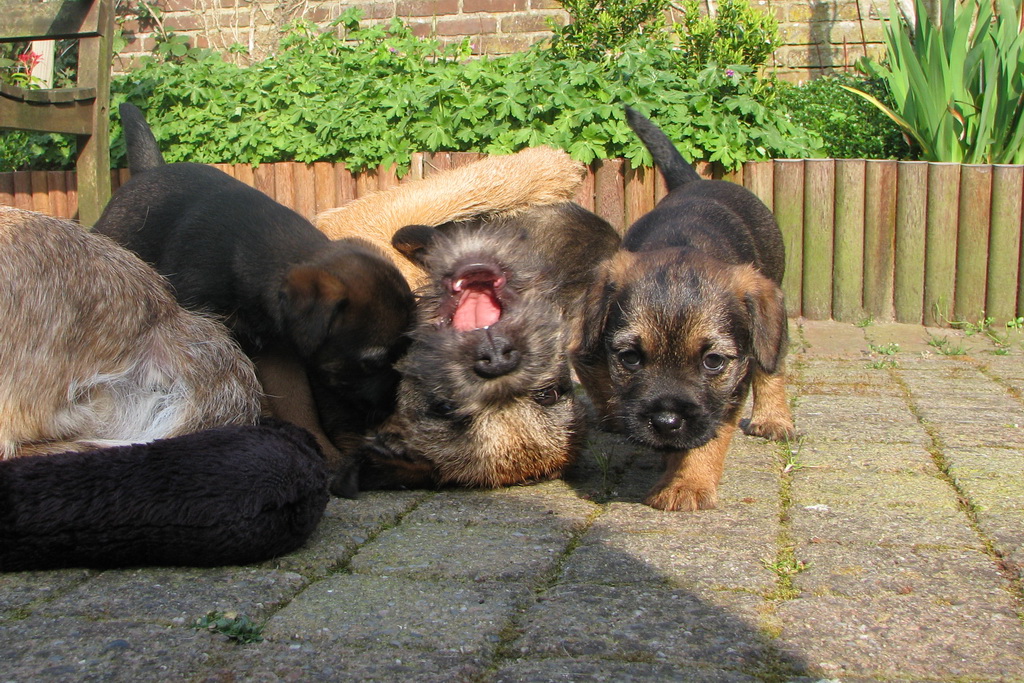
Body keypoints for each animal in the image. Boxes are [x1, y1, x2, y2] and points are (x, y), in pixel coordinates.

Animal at [93, 104, 415, 495]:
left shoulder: (279, 353)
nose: (390, 409)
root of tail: (147, 173)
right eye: (371, 362)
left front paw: (328, 456)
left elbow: (298, 405)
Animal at [572, 107, 795, 512]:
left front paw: (687, 483)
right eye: (630, 357)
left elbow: (710, 436)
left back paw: (773, 418)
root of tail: (697, 181)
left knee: (772, 362)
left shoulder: (727, 390)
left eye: (713, 362)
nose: (666, 421)